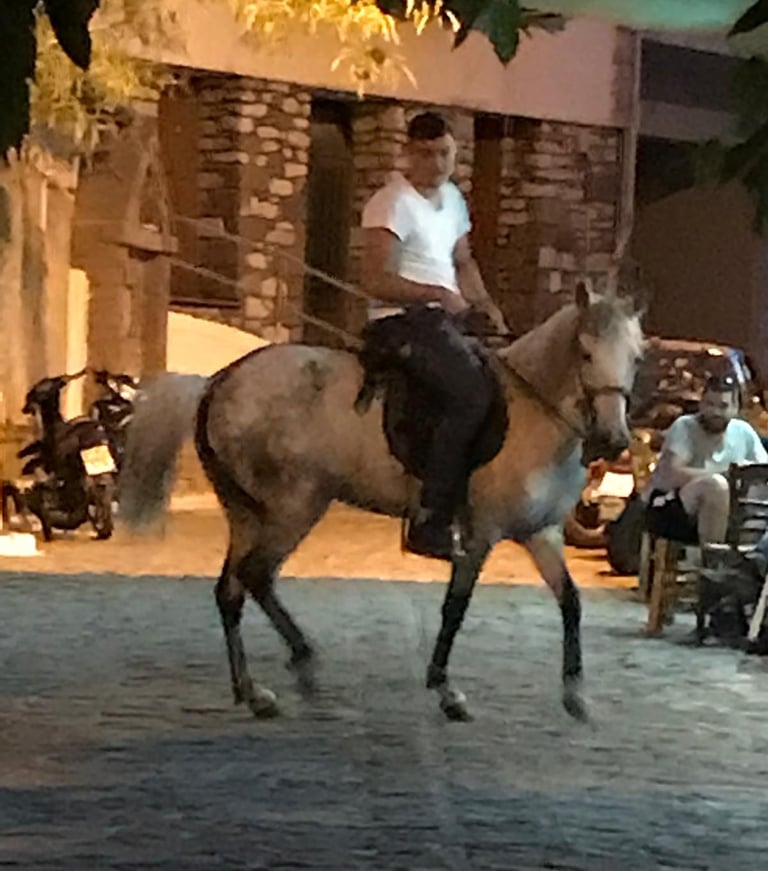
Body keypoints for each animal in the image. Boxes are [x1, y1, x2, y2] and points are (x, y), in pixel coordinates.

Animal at [119, 284, 644, 723]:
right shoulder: (480, 535)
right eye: (585, 352)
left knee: (231, 591)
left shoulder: (540, 533)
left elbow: (571, 602)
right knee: (257, 576)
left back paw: (252, 692)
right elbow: (456, 608)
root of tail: (218, 382)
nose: (614, 440)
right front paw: (446, 691)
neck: (534, 419)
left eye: (636, 359)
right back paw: (304, 663)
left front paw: (575, 695)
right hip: (296, 504)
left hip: (247, 512)